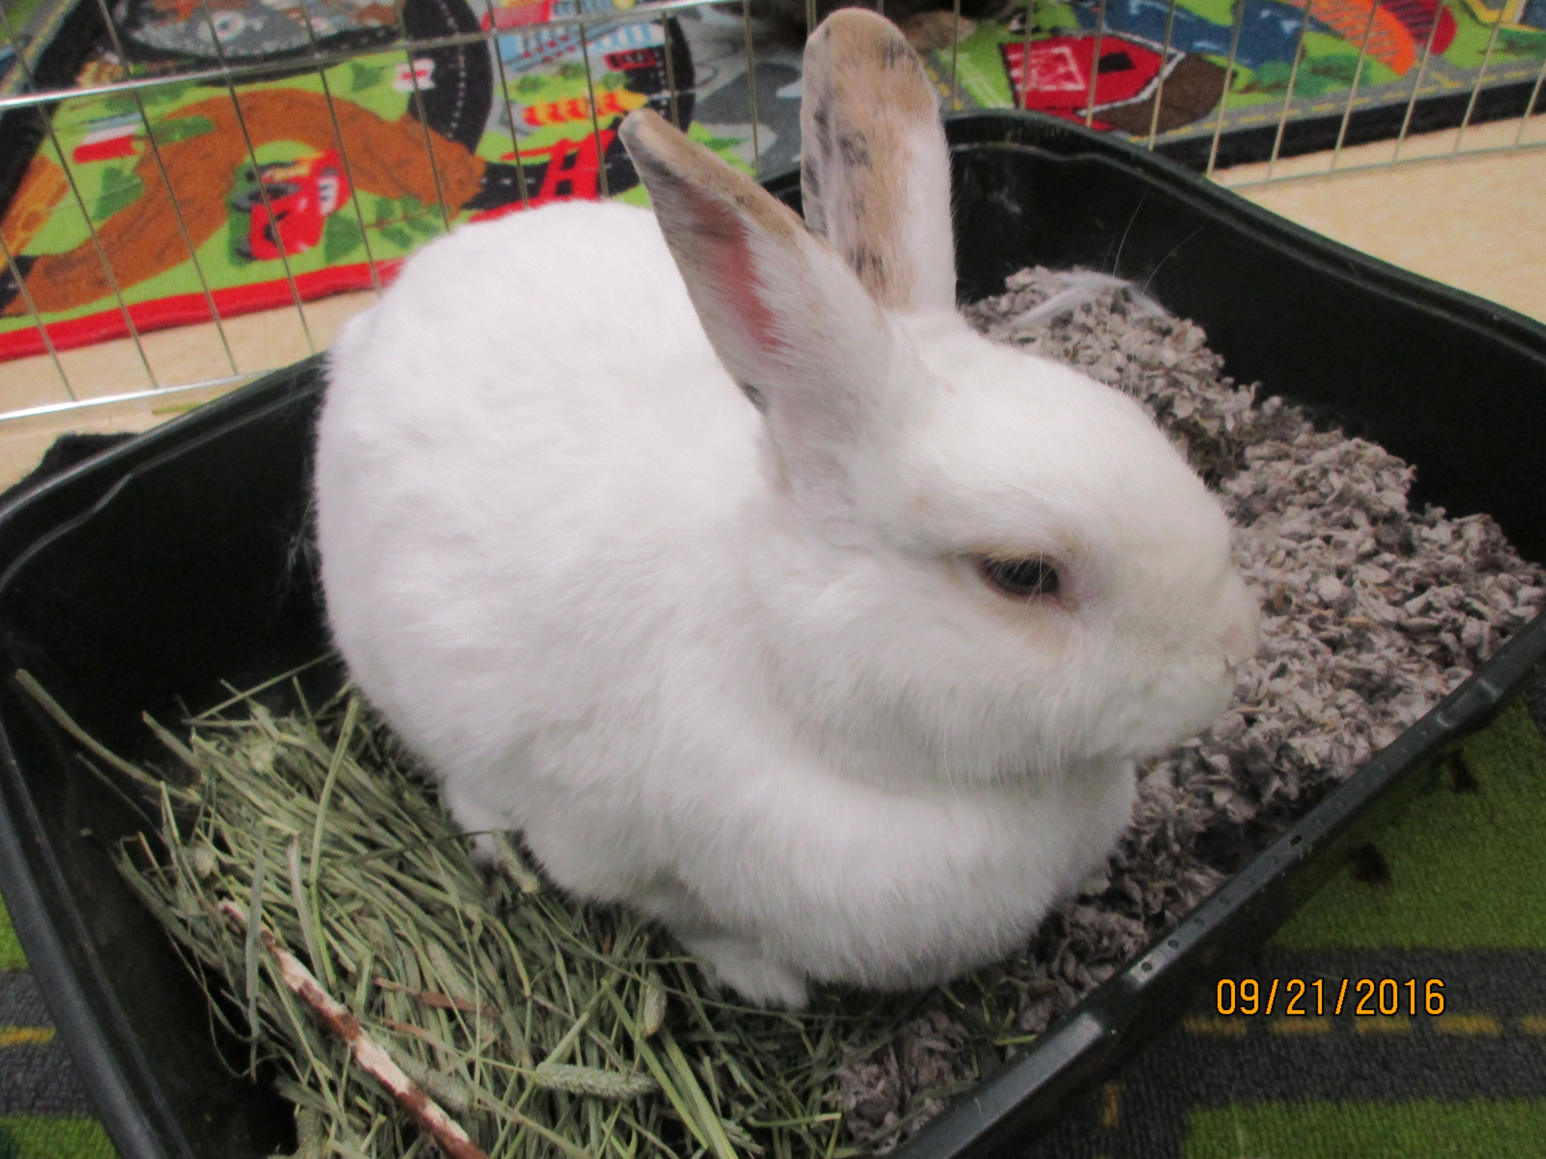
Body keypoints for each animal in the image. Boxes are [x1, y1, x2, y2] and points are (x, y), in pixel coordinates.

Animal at [313, 7, 1259, 1009]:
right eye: (1021, 574)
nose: (1236, 650)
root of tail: (373, 319)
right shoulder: (615, 852)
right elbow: (680, 912)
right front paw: (766, 980)